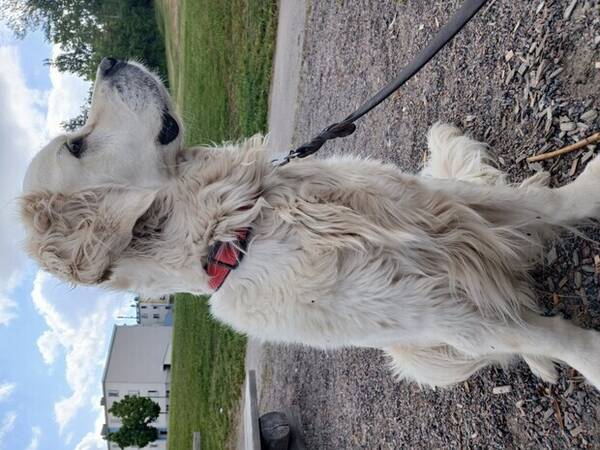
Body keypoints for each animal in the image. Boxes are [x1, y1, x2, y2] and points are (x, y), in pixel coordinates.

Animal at [18, 59, 600, 390]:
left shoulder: (426, 203)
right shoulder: (432, 311)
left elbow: (544, 206)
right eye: (77, 145)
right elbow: (548, 336)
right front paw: (585, 359)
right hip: (419, 354)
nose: (110, 59)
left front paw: (588, 187)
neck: (238, 227)